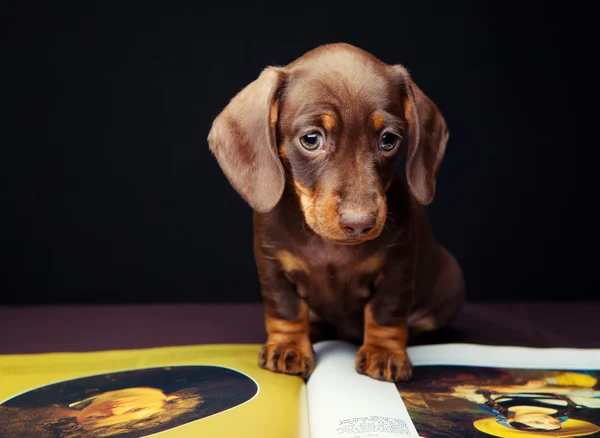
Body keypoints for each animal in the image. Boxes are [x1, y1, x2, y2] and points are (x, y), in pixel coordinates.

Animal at [209, 42, 466, 382]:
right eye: (311, 139)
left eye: (388, 140)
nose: (360, 223)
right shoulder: (271, 264)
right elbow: (285, 309)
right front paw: (288, 347)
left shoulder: (397, 267)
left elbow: (386, 313)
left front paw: (384, 353)